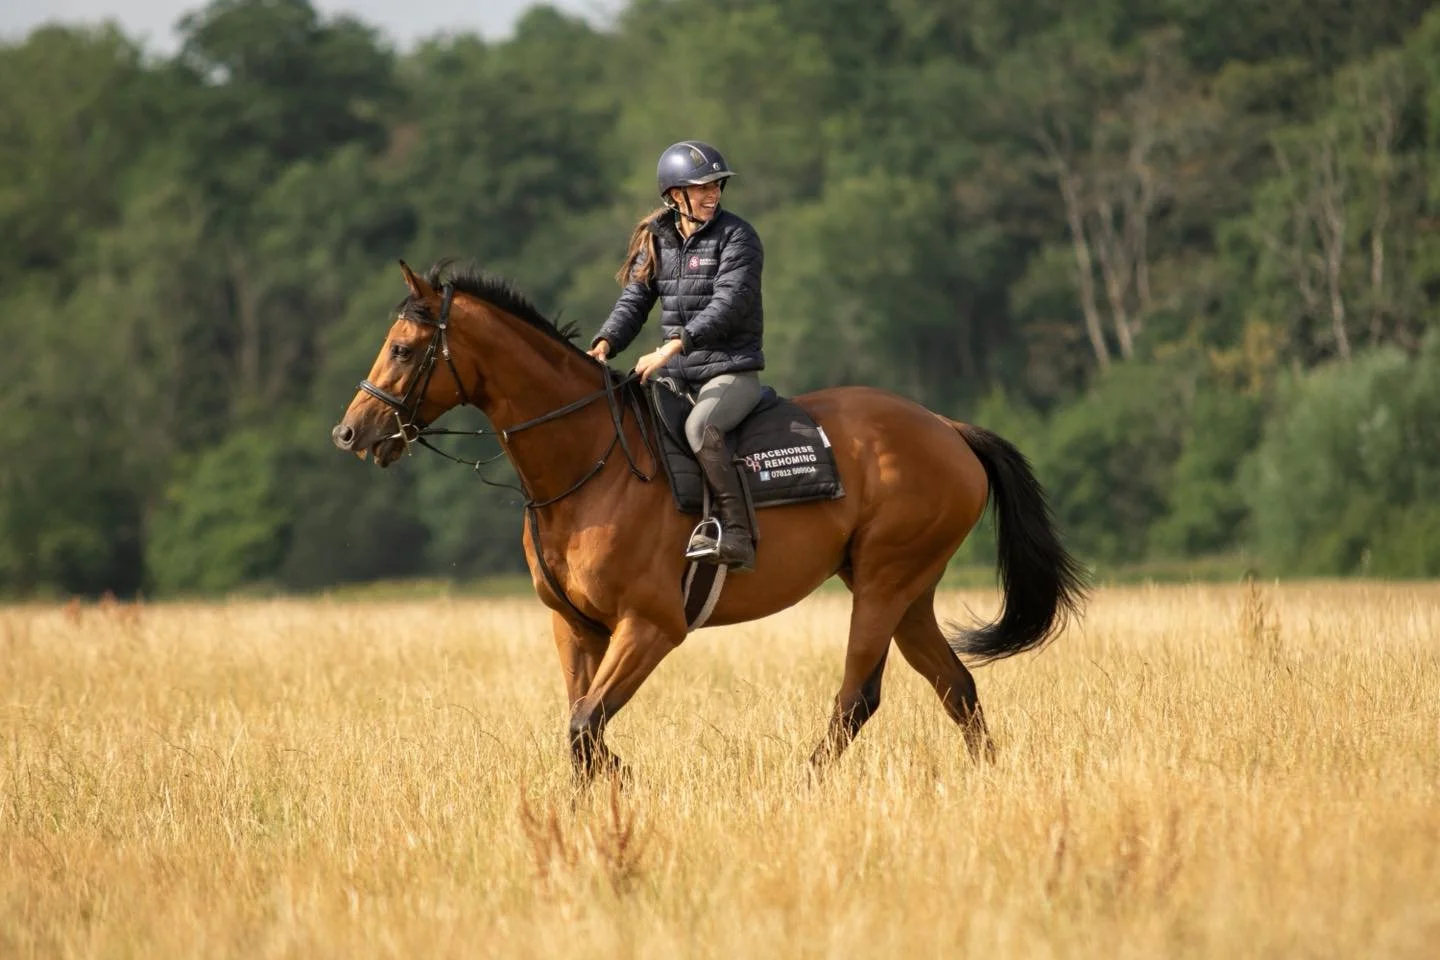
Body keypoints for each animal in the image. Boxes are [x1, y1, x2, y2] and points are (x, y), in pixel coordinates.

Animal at [330, 260, 1086, 780]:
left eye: (402, 349)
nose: (351, 433)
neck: (588, 463)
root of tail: (946, 428)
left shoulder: (651, 626)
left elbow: (585, 726)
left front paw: (625, 783)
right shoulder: (574, 627)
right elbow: (579, 729)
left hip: (884, 583)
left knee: (857, 698)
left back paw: (806, 784)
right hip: (907, 592)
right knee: (956, 687)